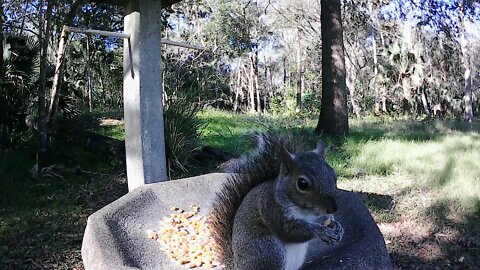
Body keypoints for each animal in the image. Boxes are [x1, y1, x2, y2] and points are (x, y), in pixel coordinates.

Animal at [208, 133, 344, 270]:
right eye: (302, 183)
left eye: (334, 176)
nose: (333, 208)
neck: (305, 211)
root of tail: (237, 266)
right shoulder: (271, 207)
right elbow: (289, 231)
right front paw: (321, 230)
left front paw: (337, 226)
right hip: (269, 249)